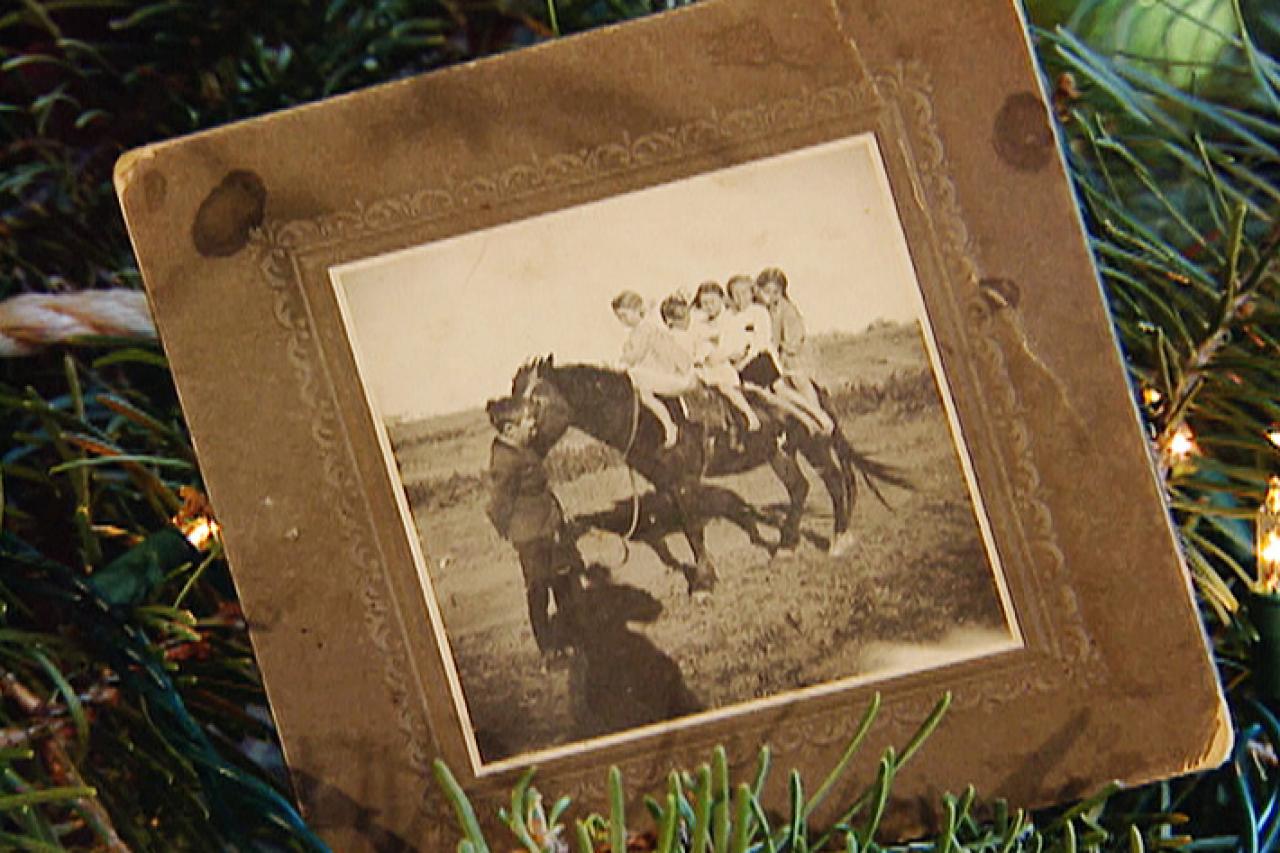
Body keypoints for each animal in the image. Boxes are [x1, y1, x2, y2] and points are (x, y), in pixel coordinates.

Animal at [506, 356, 901, 591]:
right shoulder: (667, 486)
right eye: (513, 390)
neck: (649, 418)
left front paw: (703, 583)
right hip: (780, 452)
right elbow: (680, 534)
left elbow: (694, 531)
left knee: (834, 482)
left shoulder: (684, 483)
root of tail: (811, 386)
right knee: (800, 489)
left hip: (814, 445)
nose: (502, 420)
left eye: (535, 398)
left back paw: (838, 540)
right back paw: (787, 547)